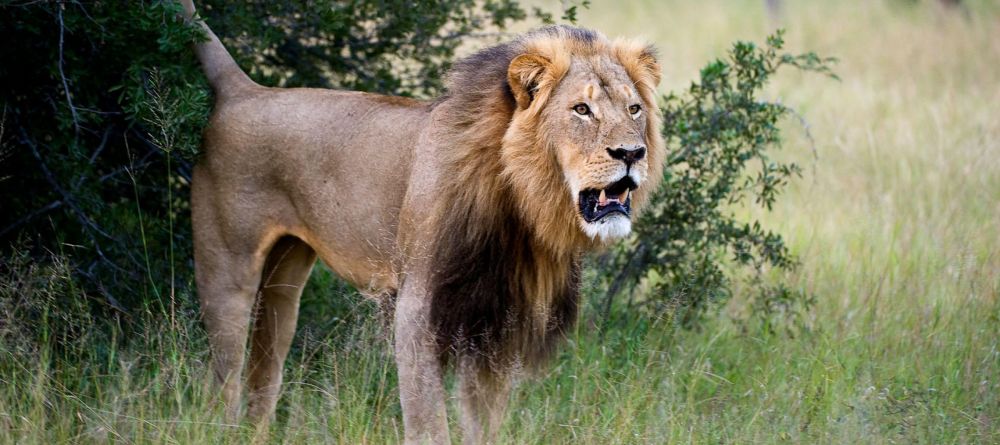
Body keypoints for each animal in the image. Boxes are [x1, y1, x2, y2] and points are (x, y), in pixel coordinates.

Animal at [180, 1, 664, 442]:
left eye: (634, 109)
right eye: (581, 110)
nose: (631, 153)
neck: (520, 205)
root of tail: (245, 90)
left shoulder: (499, 321)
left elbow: (484, 422)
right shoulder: (419, 309)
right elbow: (428, 422)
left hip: (285, 279)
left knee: (265, 372)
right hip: (228, 272)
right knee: (222, 380)